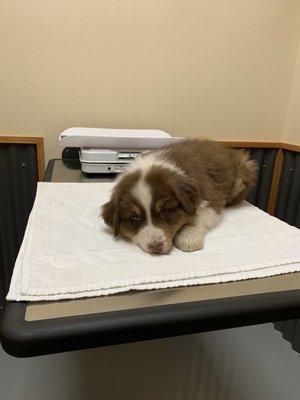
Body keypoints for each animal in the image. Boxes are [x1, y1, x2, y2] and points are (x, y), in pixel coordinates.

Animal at [102, 139, 256, 255]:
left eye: (165, 211)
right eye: (135, 217)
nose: (156, 248)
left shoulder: (211, 197)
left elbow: (200, 216)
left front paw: (188, 238)